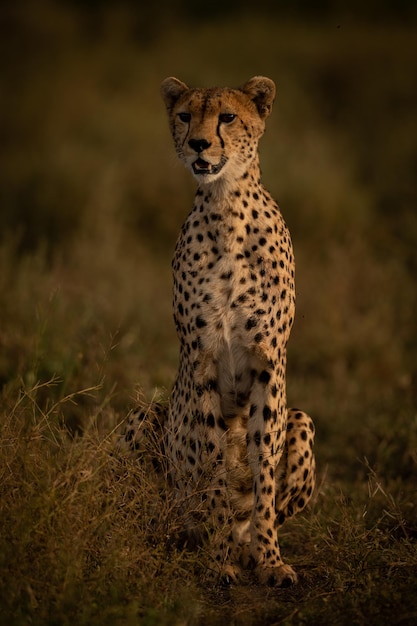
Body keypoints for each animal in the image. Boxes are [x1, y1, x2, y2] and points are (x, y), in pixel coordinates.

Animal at [122, 78, 314, 584]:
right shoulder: (202, 357)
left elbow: (263, 470)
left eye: (227, 117)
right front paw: (218, 558)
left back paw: (245, 545)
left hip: (302, 421)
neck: (226, 205)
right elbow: (211, 461)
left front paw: (268, 560)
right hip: (144, 416)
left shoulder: (269, 360)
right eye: (186, 115)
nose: (199, 145)